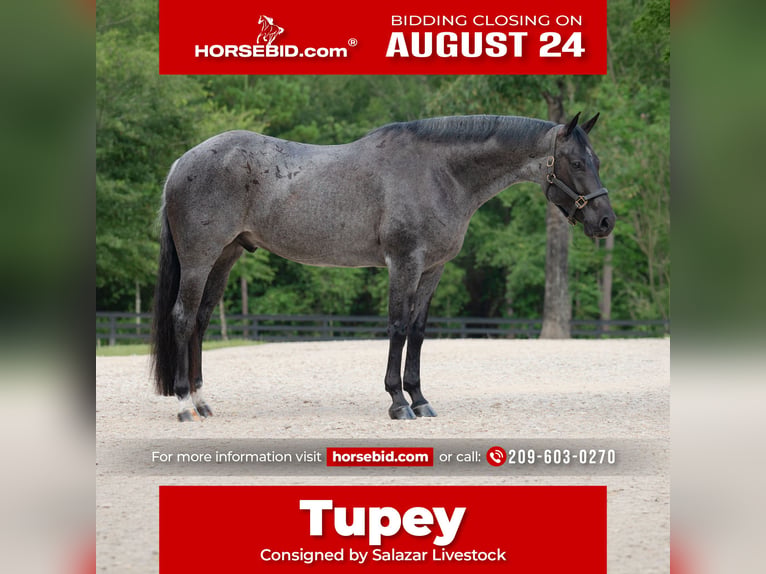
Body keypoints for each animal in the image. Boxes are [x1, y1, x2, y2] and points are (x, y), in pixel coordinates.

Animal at [151, 113, 615, 421]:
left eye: (597, 161)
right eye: (577, 162)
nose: (606, 221)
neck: (440, 173)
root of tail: (180, 164)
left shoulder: (432, 270)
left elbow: (419, 331)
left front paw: (420, 399)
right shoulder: (404, 263)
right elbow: (396, 326)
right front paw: (397, 402)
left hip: (225, 257)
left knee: (200, 322)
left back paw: (202, 402)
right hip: (200, 259)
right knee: (183, 318)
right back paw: (184, 404)